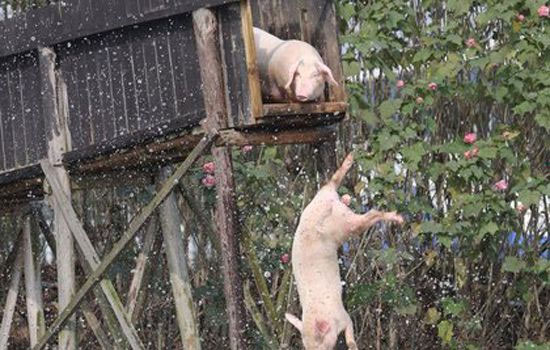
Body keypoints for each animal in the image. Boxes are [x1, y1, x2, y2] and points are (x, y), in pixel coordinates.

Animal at [286, 154, 408, 348]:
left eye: (321, 348)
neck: (319, 314)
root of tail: (325, 206)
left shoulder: (343, 316)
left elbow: (350, 331)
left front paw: (353, 345)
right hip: (325, 200)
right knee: (332, 182)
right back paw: (349, 173)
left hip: (344, 226)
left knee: (370, 214)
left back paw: (397, 218)